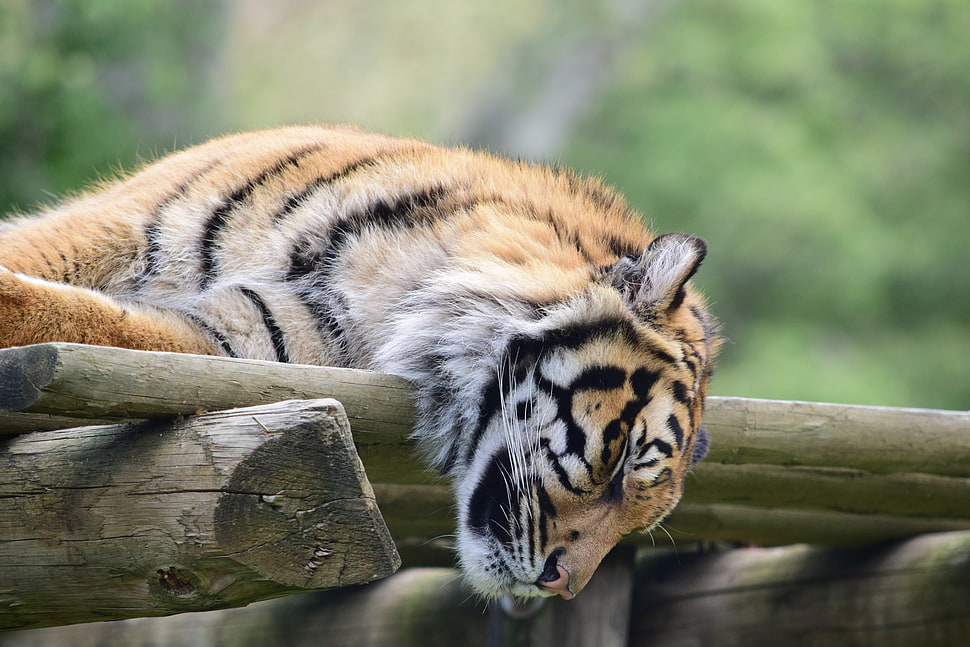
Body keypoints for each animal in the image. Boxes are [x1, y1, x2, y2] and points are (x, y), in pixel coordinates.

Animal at [0, 125, 720, 600]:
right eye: (623, 462)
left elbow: (100, 322)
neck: (403, 287)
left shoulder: (235, 339)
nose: (561, 586)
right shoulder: (118, 222)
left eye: (640, 514)